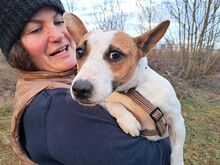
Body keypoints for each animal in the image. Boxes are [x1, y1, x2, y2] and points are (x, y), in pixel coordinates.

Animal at [63, 12, 186, 164]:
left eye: (115, 55)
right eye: (79, 52)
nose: (79, 89)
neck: (130, 91)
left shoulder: (177, 120)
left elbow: (177, 151)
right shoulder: (105, 99)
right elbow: (114, 105)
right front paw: (128, 121)